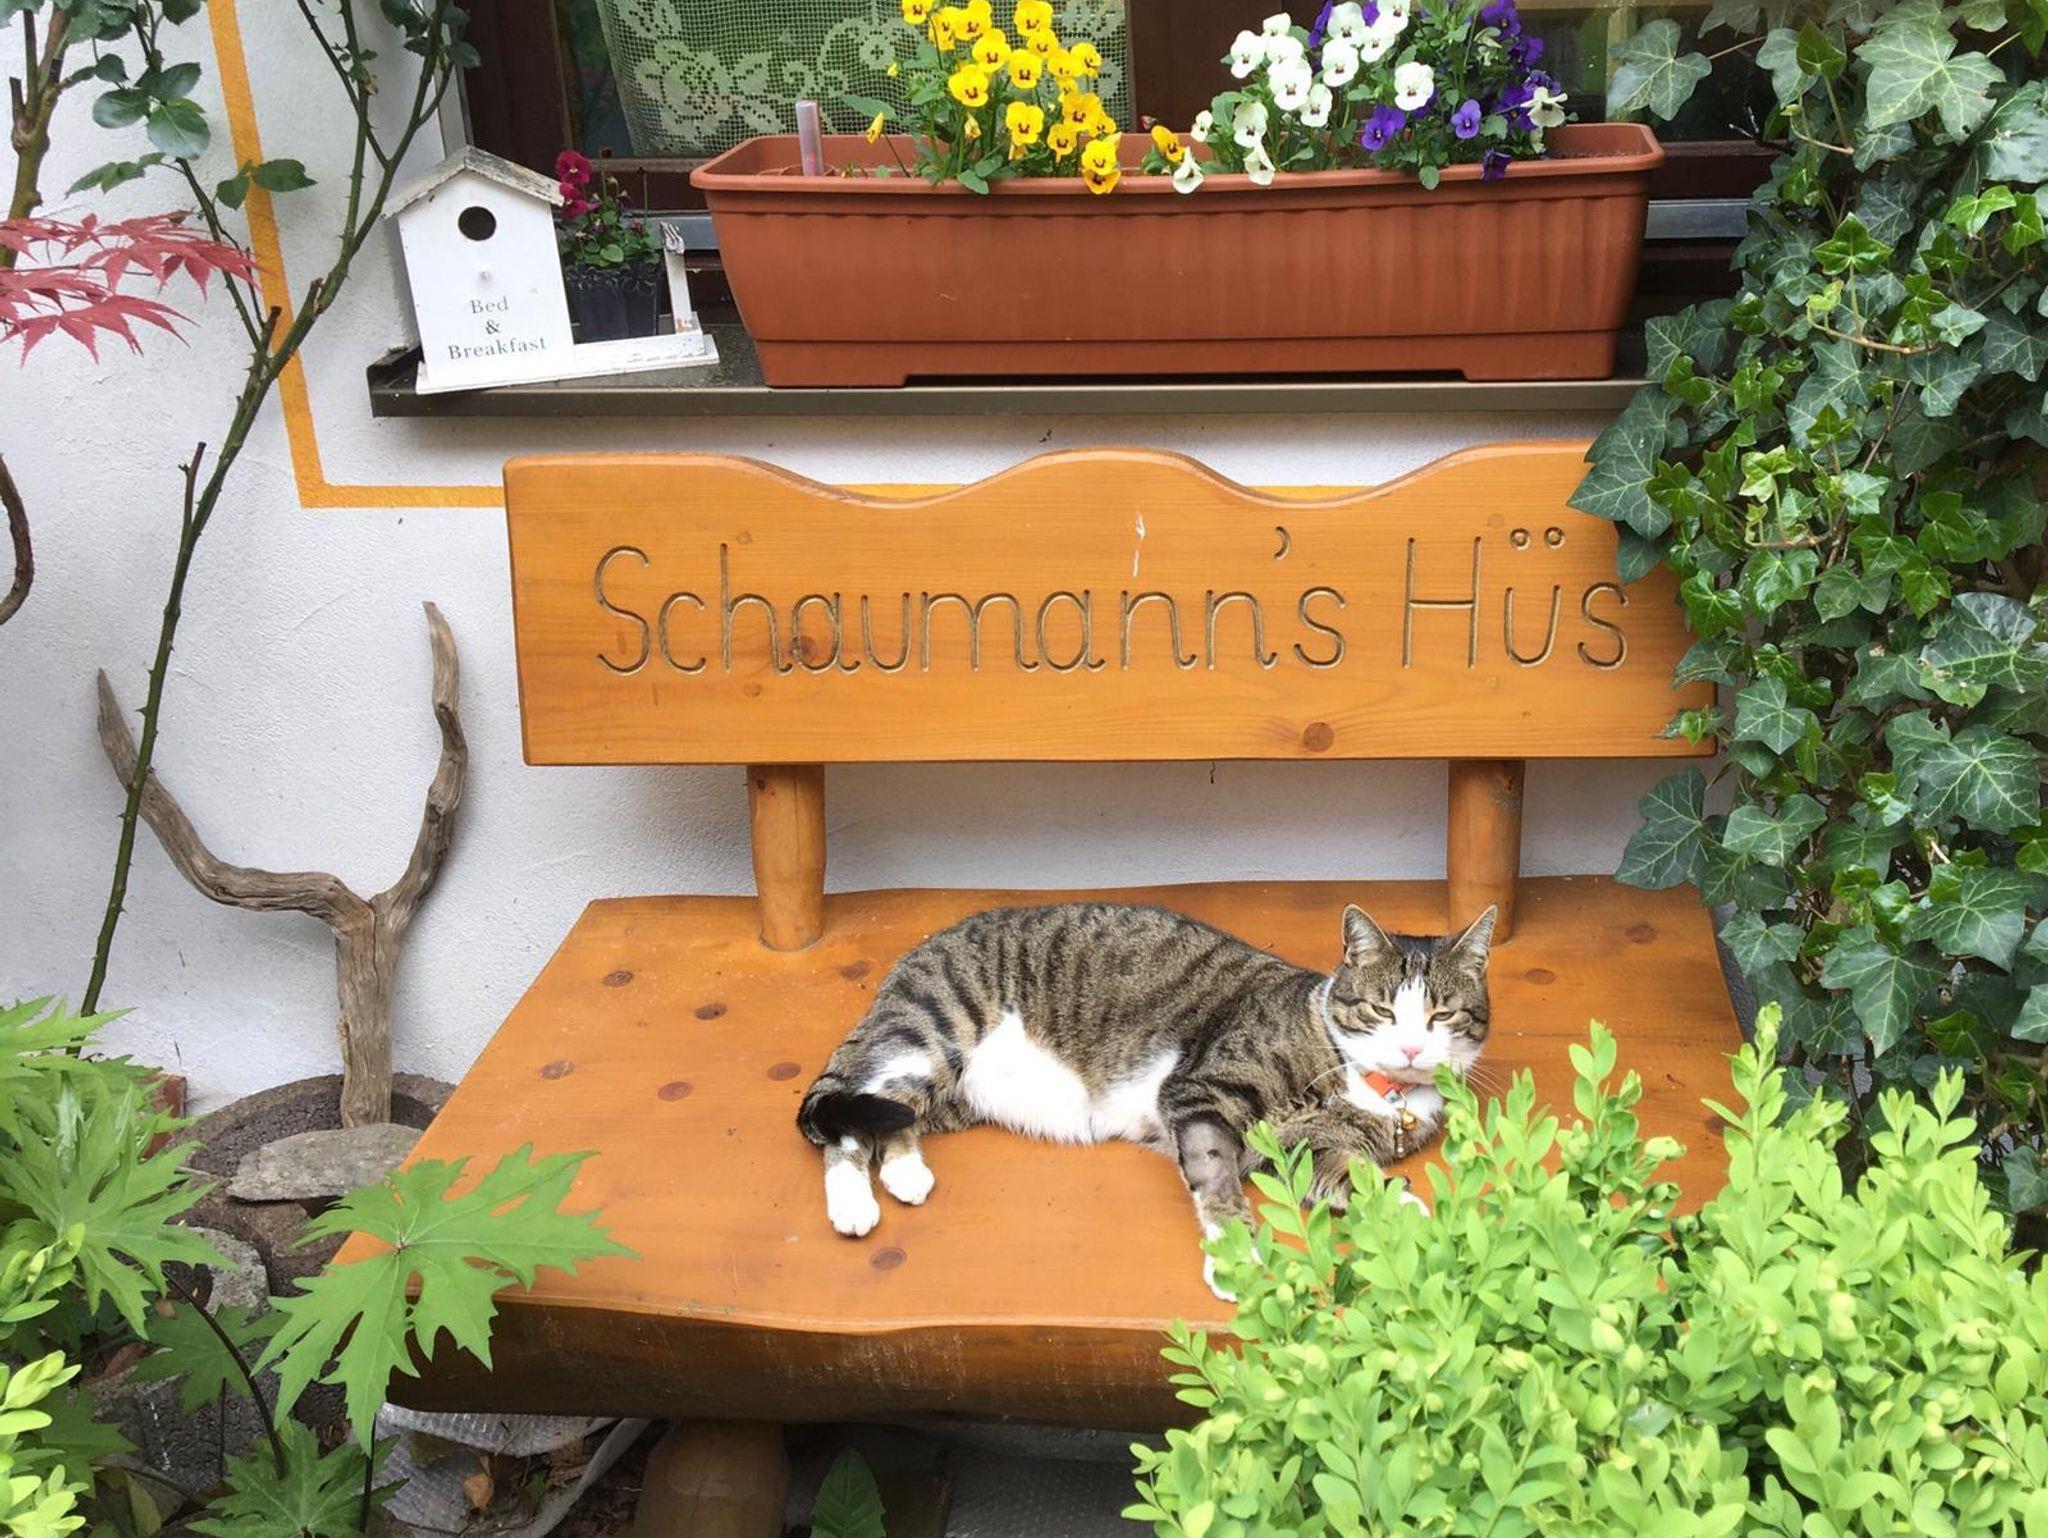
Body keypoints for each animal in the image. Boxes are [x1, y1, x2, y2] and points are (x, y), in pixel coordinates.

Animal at [796, 901, 1494, 1298]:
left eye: (1442, 1015)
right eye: (1382, 1011)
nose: (1411, 1049)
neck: (1373, 1091)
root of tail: (915, 954)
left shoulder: (1311, 1151)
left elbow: (1357, 1176)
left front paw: (1415, 1213)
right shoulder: (1201, 1090)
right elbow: (1216, 1172)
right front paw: (1236, 1258)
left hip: (943, 1089)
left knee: (887, 1114)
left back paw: (905, 1171)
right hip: (934, 1032)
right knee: (846, 1114)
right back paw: (854, 1204)